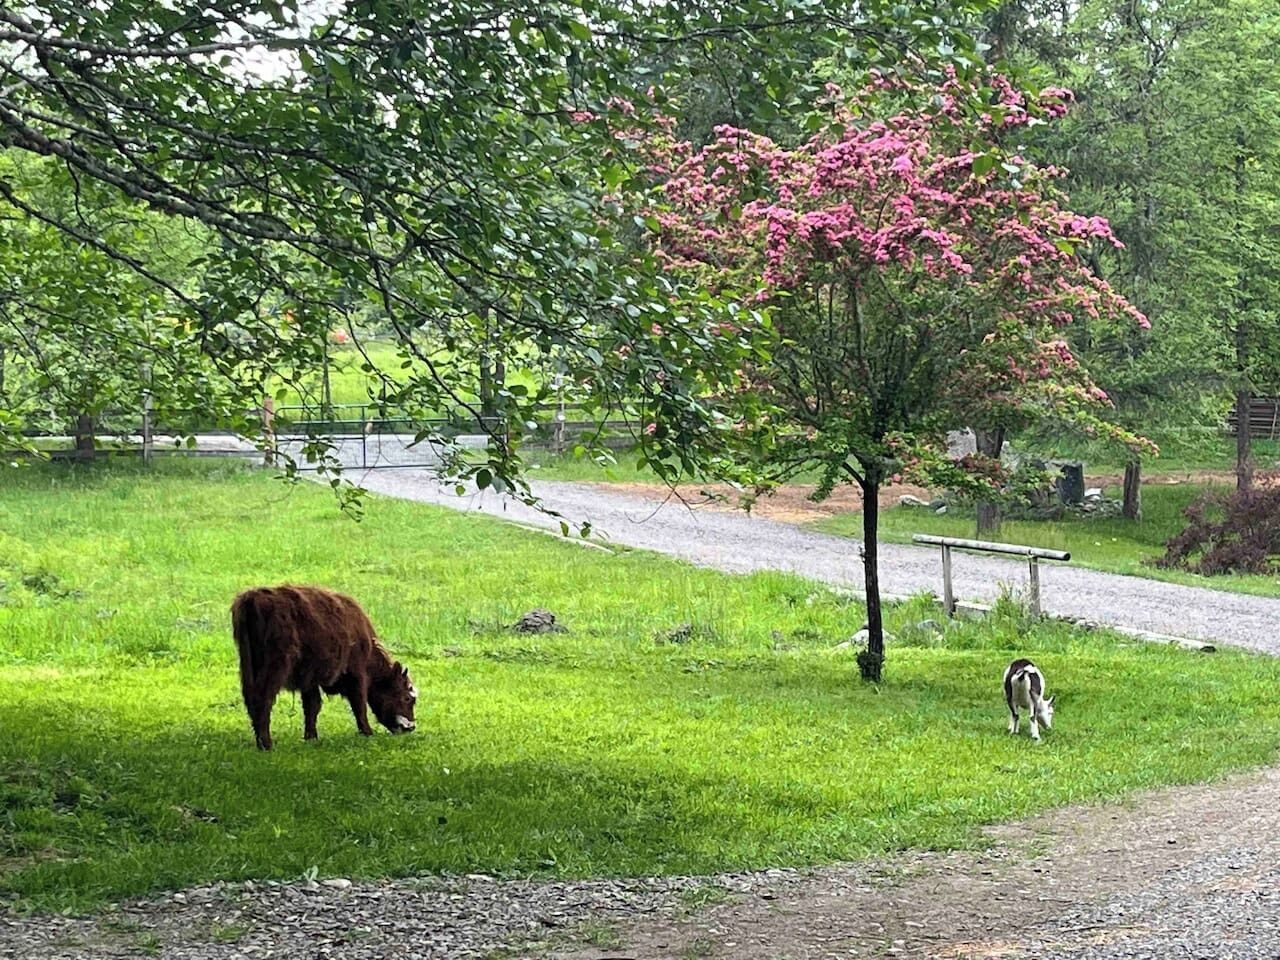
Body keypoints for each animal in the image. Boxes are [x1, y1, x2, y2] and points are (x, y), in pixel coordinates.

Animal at [231, 585, 417, 750]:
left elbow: (312, 706)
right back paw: (267, 744)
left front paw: (311, 737)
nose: (411, 727)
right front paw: (368, 732)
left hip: (248, 666)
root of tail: (253, 597)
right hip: (276, 666)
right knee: (263, 698)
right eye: (407, 698)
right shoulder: (356, 675)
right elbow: (359, 704)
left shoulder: (310, 680)